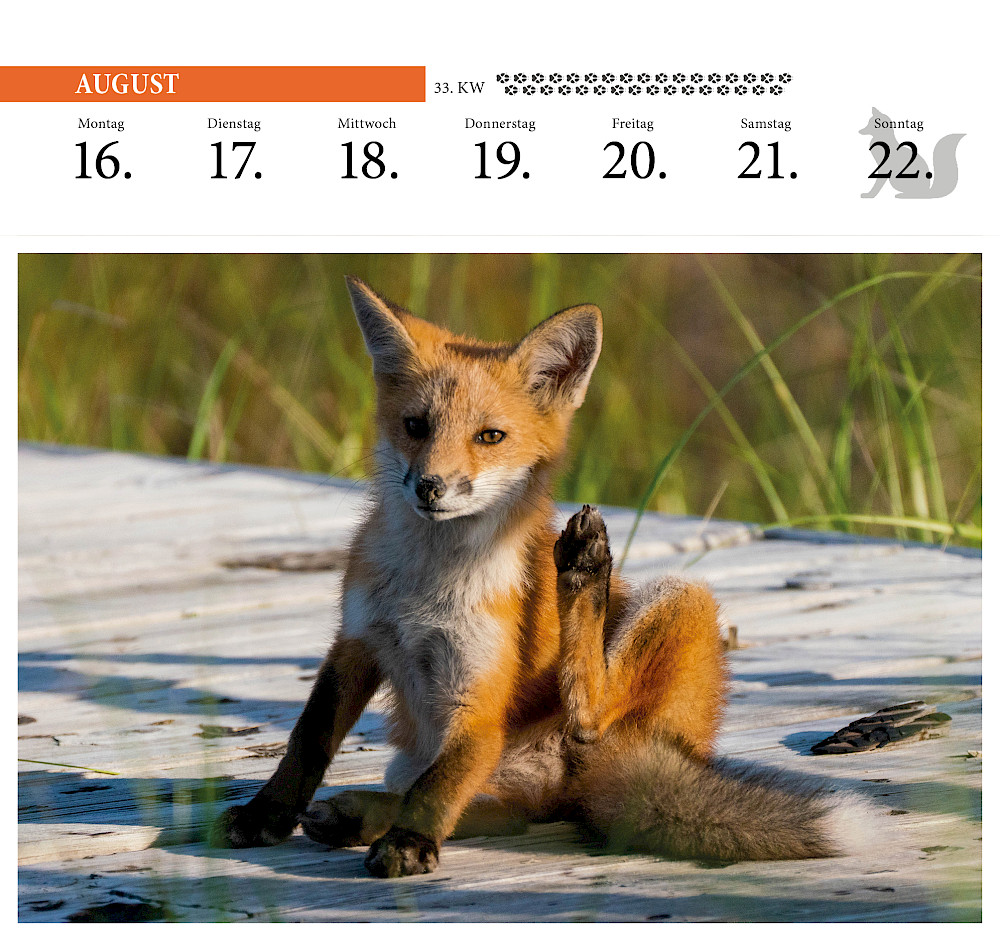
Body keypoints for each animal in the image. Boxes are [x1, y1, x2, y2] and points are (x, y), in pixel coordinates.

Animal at [211, 277, 870, 877]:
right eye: (417, 426)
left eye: (490, 436)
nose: (429, 487)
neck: (427, 583)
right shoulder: (357, 643)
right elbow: (308, 740)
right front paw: (266, 813)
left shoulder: (479, 691)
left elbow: (439, 786)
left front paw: (410, 843)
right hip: (436, 761)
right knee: (503, 814)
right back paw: (357, 815)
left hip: (681, 600)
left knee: (584, 720)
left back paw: (583, 568)